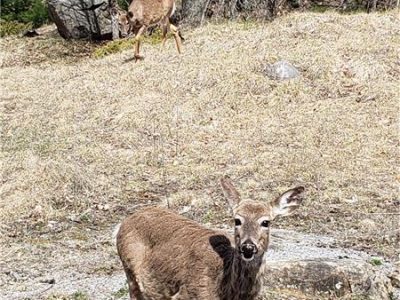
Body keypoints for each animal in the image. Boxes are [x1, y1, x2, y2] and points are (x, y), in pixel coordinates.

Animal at [115, 176, 304, 300]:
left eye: (266, 222)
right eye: (237, 220)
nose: (248, 247)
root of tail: (124, 222)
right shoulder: (186, 293)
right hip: (130, 273)